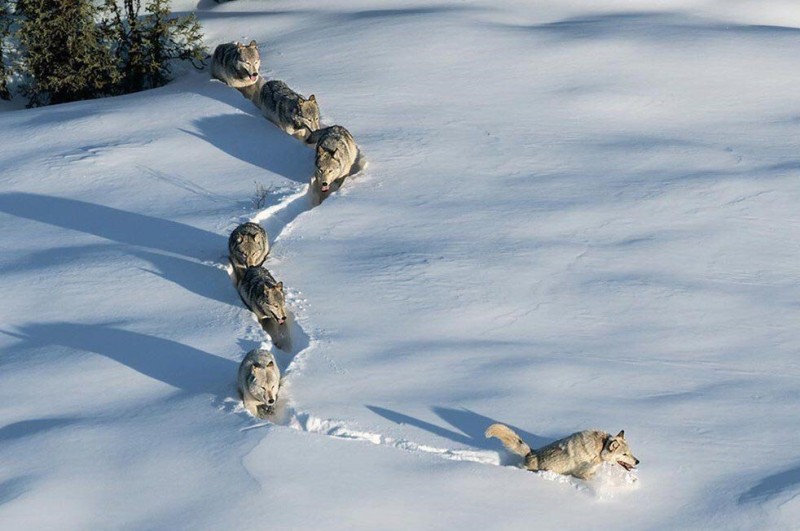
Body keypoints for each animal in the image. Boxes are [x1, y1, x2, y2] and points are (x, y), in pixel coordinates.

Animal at [484, 424, 640, 482]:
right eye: (625, 454)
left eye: (630, 452)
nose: (638, 461)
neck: (599, 449)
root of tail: (530, 452)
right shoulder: (581, 474)